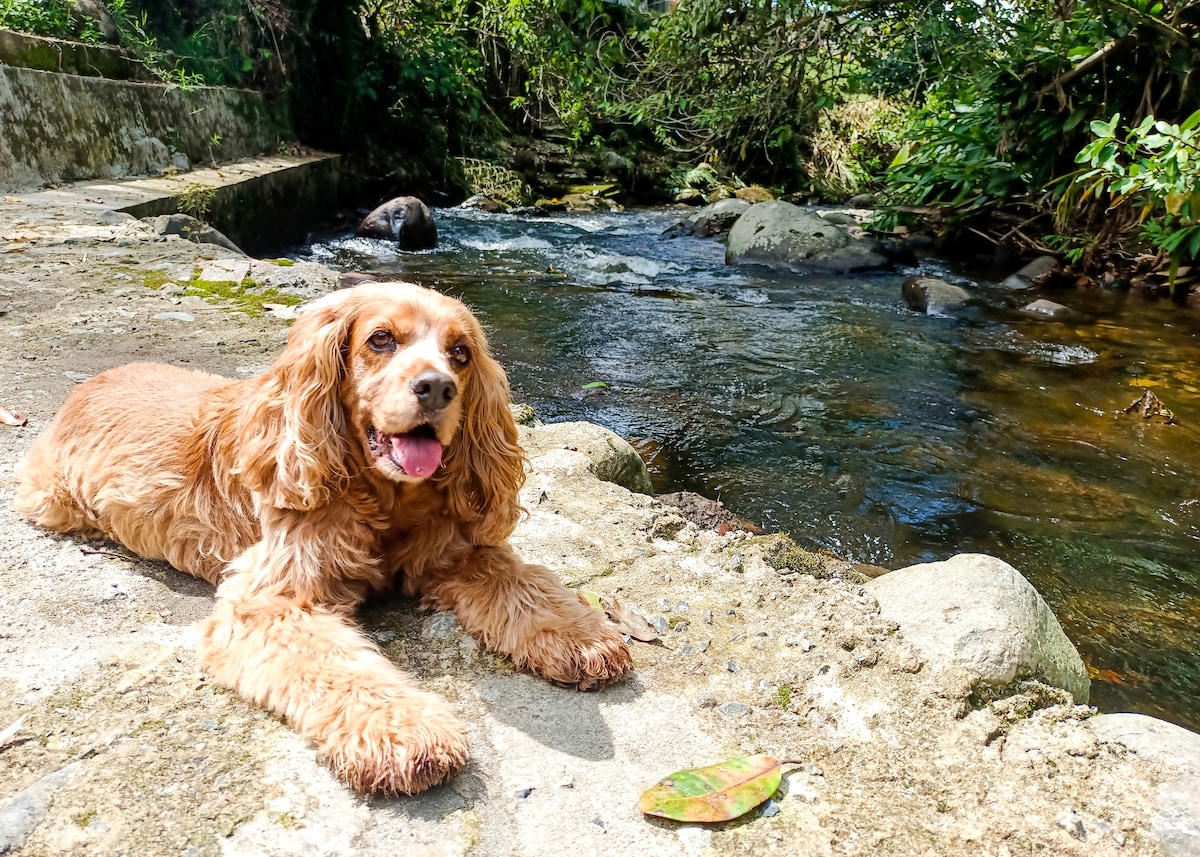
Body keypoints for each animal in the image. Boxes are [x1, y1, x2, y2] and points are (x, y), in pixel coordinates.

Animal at [14, 282, 633, 792]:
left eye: (460, 352)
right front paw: (405, 732)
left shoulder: (456, 553)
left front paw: (581, 636)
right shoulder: (272, 601)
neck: (385, 499)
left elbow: (525, 584)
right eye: (381, 338)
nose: (437, 387)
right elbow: (341, 667)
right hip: (51, 500)